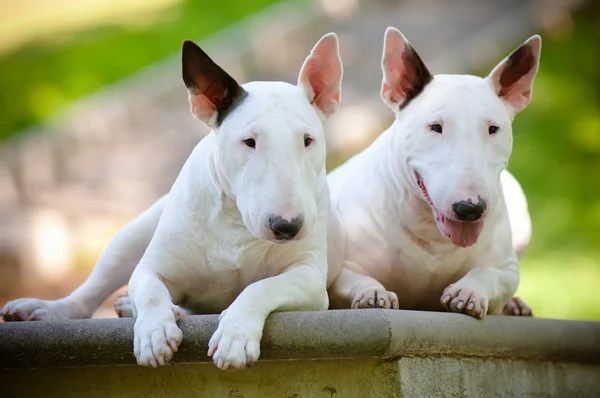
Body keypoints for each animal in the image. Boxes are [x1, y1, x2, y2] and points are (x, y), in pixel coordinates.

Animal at [2, 34, 342, 370]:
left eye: (307, 140)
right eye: (249, 142)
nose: (287, 227)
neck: (235, 224)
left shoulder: (311, 279)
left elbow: (261, 287)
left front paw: (234, 336)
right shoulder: (151, 268)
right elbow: (151, 290)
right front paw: (154, 334)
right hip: (133, 234)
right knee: (89, 292)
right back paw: (47, 309)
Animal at [326, 28, 540, 318]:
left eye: (493, 128)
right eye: (436, 127)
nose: (470, 209)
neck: (433, 236)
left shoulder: (506, 270)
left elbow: (488, 274)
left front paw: (468, 292)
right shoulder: (343, 269)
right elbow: (355, 279)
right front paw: (373, 293)